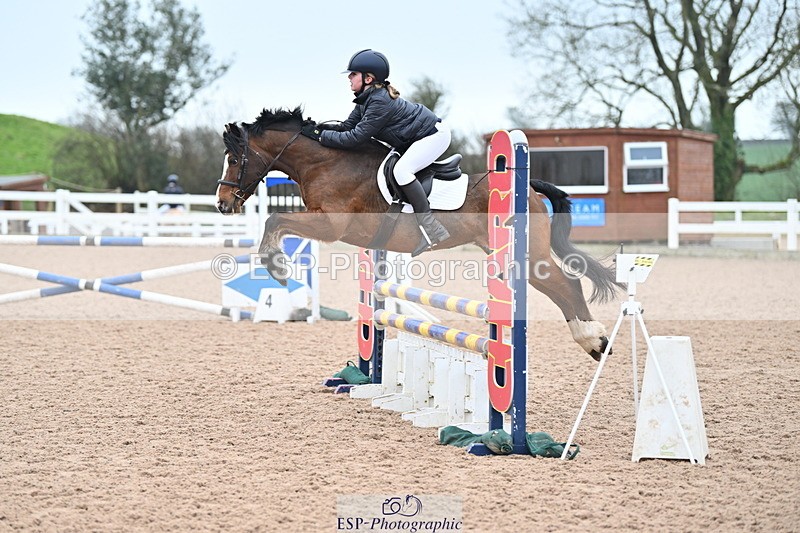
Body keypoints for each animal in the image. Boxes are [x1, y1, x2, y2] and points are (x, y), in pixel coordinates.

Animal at [215, 107, 621, 361]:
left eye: (234, 160)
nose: (222, 203)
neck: (326, 162)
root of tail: (530, 189)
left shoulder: (330, 224)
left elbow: (275, 220)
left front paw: (277, 266)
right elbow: (277, 221)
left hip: (527, 255)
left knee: (568, 285)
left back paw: (595, 340)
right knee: (560, 288)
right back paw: (593, 341)